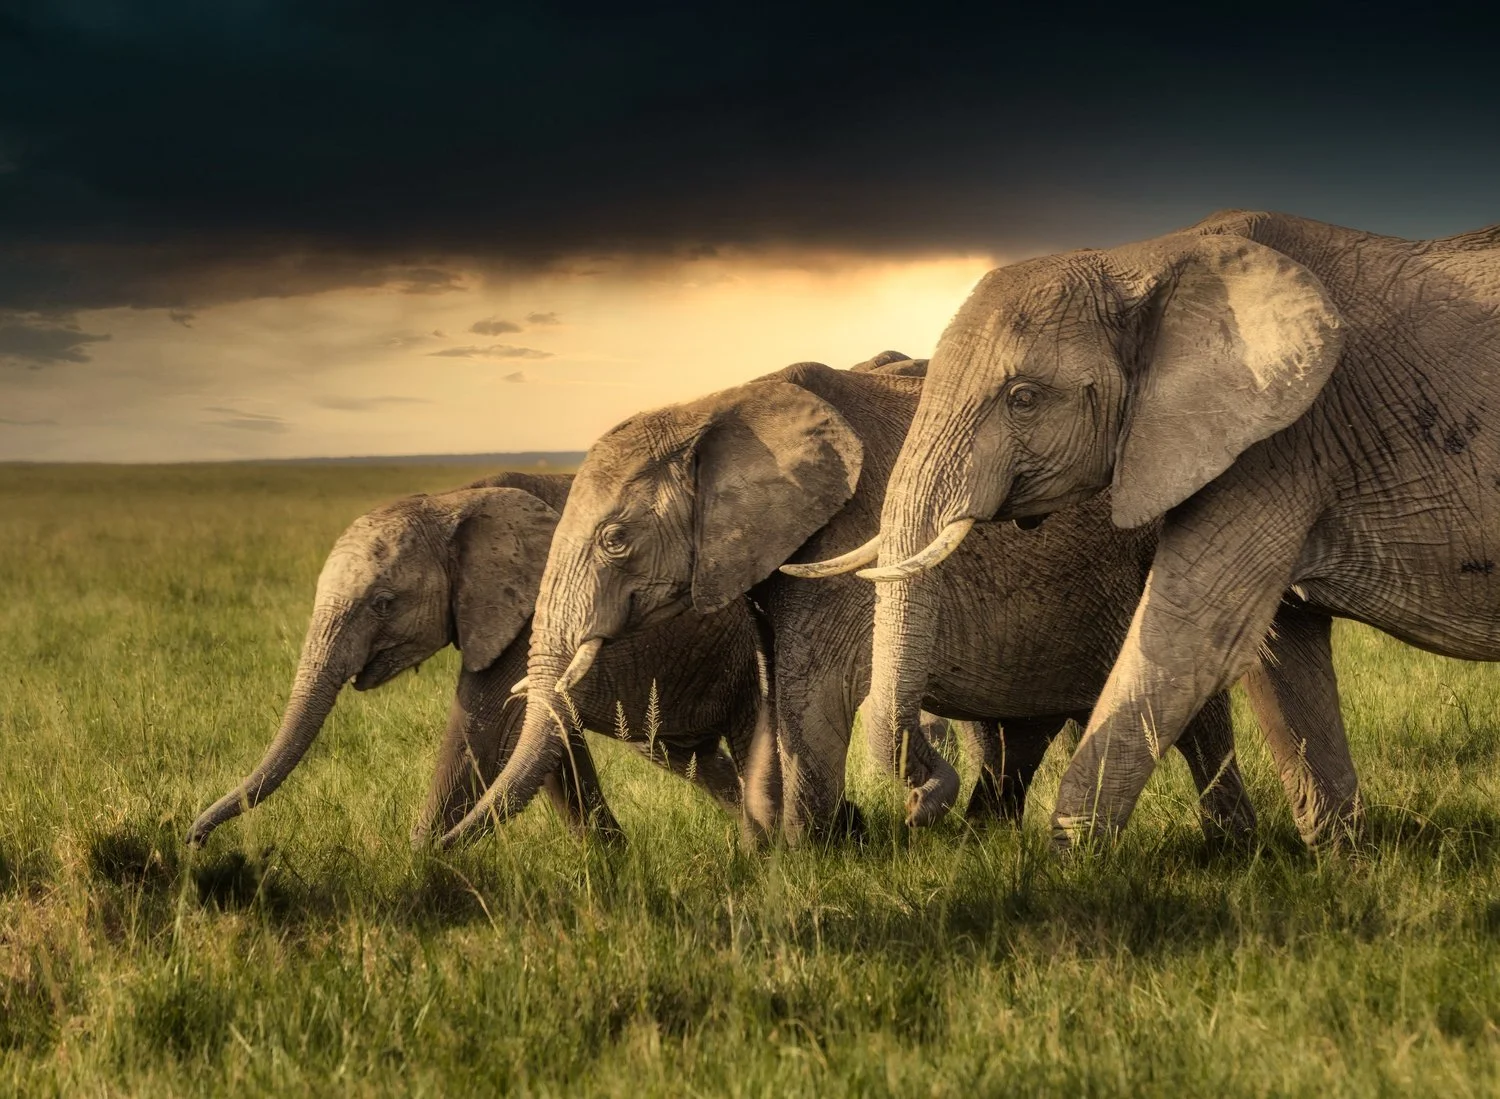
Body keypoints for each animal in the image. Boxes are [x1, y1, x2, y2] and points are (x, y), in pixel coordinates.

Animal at [185, 471, 769, 849]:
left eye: (383, 603)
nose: (194, 838)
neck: (452, 501)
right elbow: (548, 741)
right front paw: (611, 863)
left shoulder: (532, 609)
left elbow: (484, 726)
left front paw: (420, 862)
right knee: (682, 754)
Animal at [440, 353, 1261, 848]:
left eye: (614, 540)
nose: (437, 855)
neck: (720, 404)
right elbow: (776, 694)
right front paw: (781, 843)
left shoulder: (844, 533)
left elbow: (815, 694)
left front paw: (808, 855)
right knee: (1021, 729)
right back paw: (977, 840)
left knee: (1192, 708)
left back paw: (1229, 848)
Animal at [829, 209, 1499, 848]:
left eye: (1023, 398)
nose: (918, 808)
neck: (1146, 258)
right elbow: (1279, 650)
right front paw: (1342, 862)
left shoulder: (1283, 443)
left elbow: (1189, 637)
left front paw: (1066, 865)